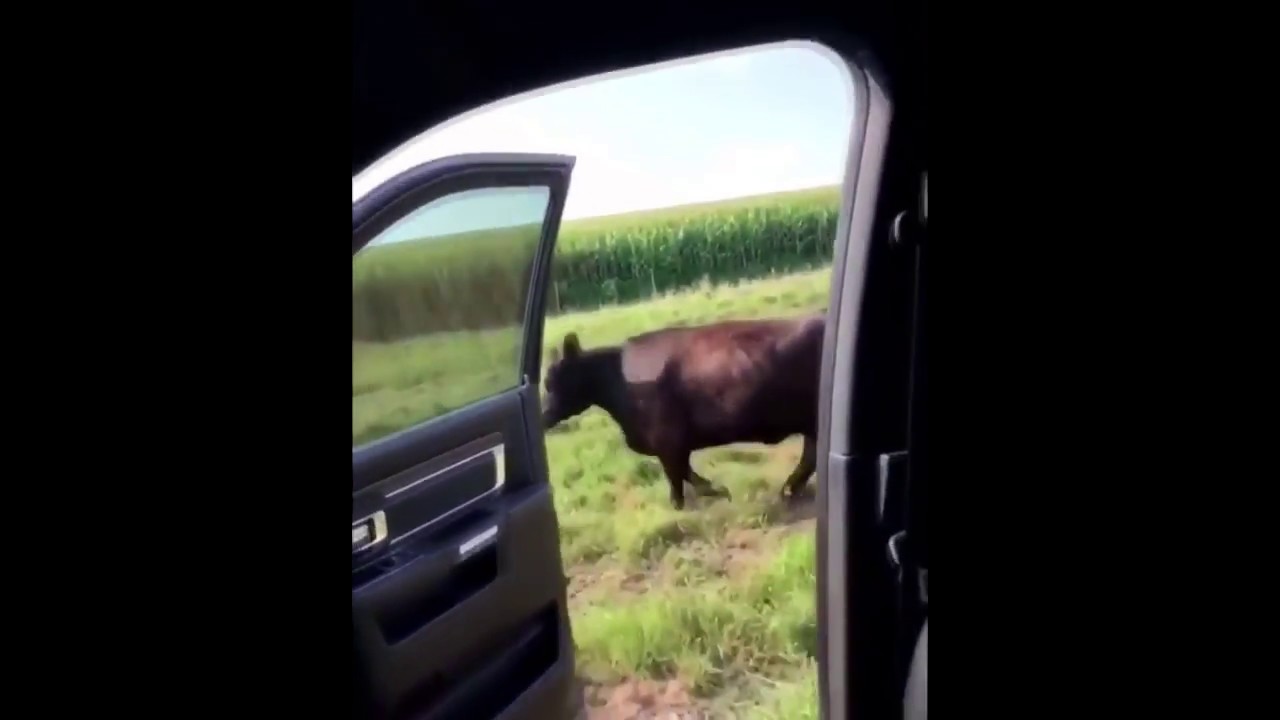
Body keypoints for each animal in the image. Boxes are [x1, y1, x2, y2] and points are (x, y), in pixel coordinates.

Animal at [540, 312, 824, 510]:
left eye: (553, 381)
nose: (543, 416)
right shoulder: (675, 444)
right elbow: (685, 472)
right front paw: (716, 489)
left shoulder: (668, 440)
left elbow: (675, 476)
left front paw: (679, 504)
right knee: (811, 455)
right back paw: (789, 489)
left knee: (810, 455)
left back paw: (789, 490)